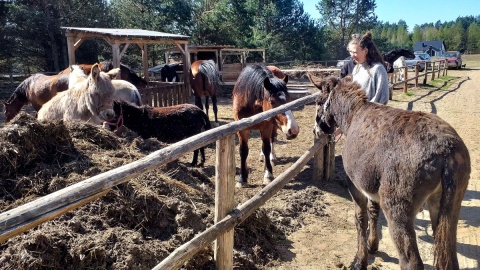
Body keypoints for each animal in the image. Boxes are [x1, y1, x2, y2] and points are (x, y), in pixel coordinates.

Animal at [310, 74, 470, 270]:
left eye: (318, 102)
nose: (316, 130)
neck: (353, 115)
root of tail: (447, 149)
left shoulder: (355, 186)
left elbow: (360, 219)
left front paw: (360, 261)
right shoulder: (371, 186)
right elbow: (373, 211)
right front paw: (372, 245)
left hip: (397, 208)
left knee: (410, 261)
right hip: (447, 205)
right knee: (449, 257)